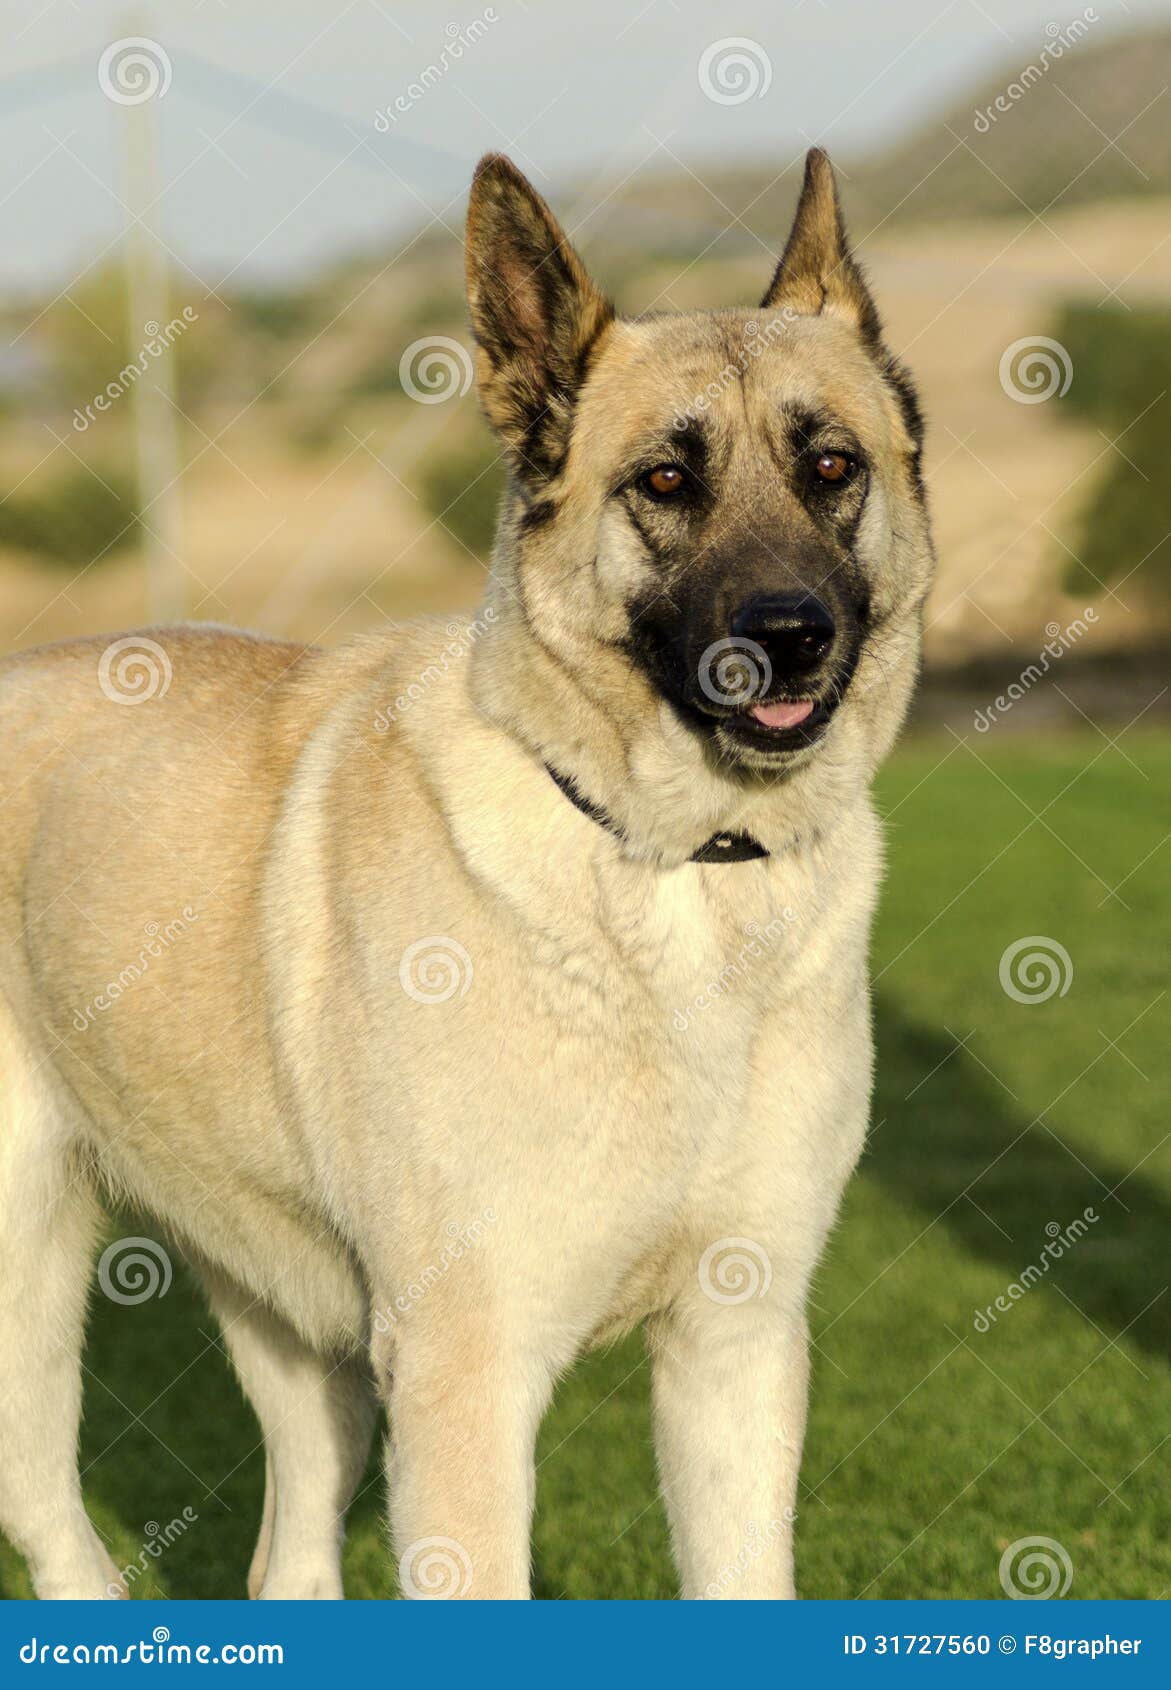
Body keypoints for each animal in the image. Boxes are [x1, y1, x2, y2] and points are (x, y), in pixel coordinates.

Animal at [0, 145, 932, 1595]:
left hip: (295, 1339)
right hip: (31, 1307)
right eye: (664, 483)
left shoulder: (736, 1343)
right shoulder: (468, 1376)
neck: (669, 862)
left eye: (830, 465)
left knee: (287, 1561)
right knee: (59, 1532)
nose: (786, 637)